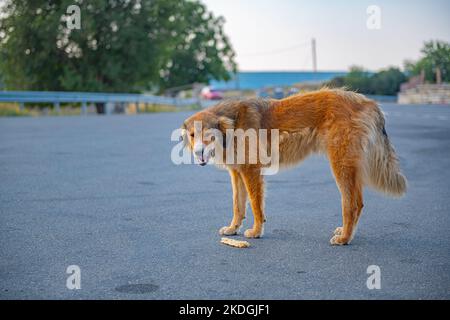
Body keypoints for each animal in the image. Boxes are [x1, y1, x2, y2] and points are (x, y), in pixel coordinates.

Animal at [180, 89, 408, 244]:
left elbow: (255, 205)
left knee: (350, 205)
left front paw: (256, 231)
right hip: (350, 168)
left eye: (208, 135)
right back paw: (346, 233)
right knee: (358, 203)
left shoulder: (251, 171)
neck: (233, 124)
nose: (198, 152)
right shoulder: (237, 173)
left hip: (341, 166)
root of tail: (366, 101)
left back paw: (344, 238)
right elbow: (238, 205)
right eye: (192, 135)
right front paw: (233, 228)